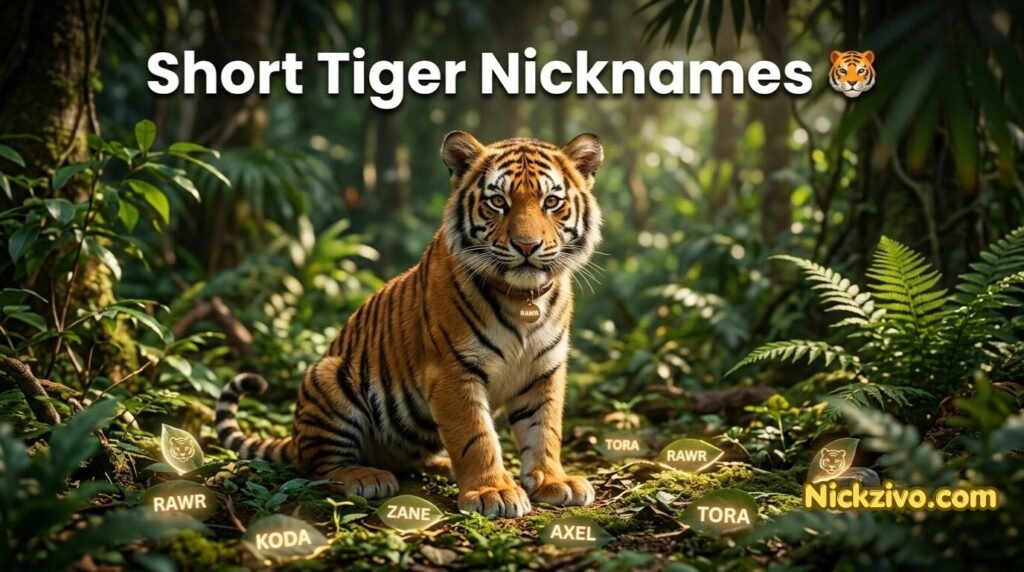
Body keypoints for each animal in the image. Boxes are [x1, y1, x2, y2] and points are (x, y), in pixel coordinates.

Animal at [216, 131, 603, 517]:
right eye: (497, 202)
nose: (526, 246)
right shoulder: (452, 371)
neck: (523, 299)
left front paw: (554, 481)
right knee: (317, 466)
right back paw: (364, 476)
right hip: (329, 378)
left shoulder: (544, 370)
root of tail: (295, 437)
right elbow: (475, 435)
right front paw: (493, 491)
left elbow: (544, 430)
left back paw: (444, 465)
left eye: (551, 202)